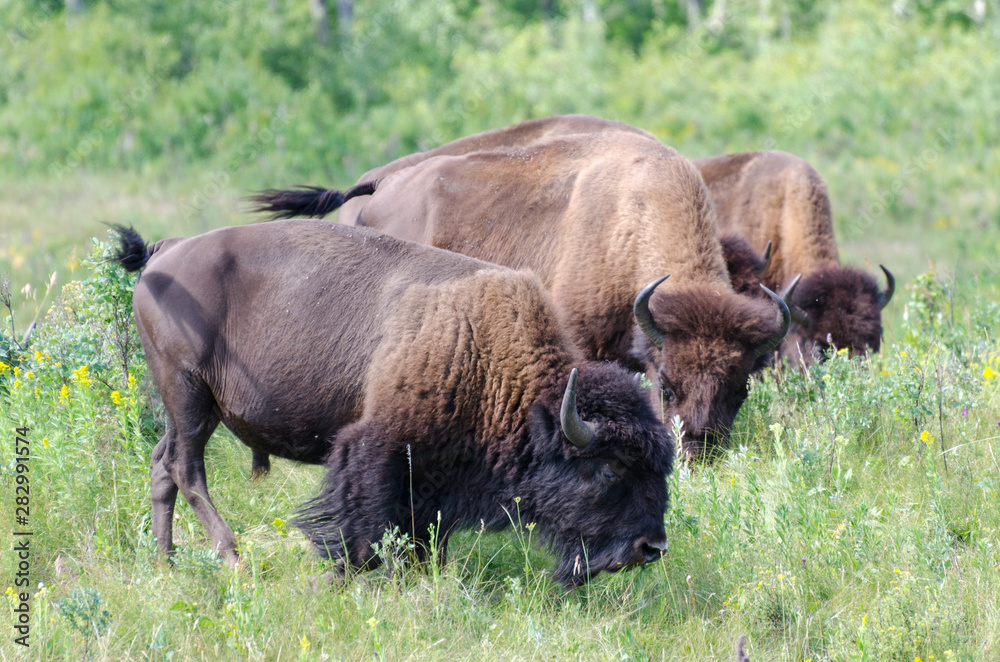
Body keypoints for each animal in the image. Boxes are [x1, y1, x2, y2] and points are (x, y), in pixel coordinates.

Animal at [111, 219, 672, 588]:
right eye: (609, 469)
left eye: (661, 468)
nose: (651, 549)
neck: (482, 350)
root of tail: (165, 251)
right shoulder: (376, 448)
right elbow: (363, 528)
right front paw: (335, 578)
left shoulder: (434, 476)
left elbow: (424, 533)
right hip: (189, 396)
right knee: (187, 469)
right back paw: (233, 559)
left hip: (188, 409)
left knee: (163, 466)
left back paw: (166, 564)